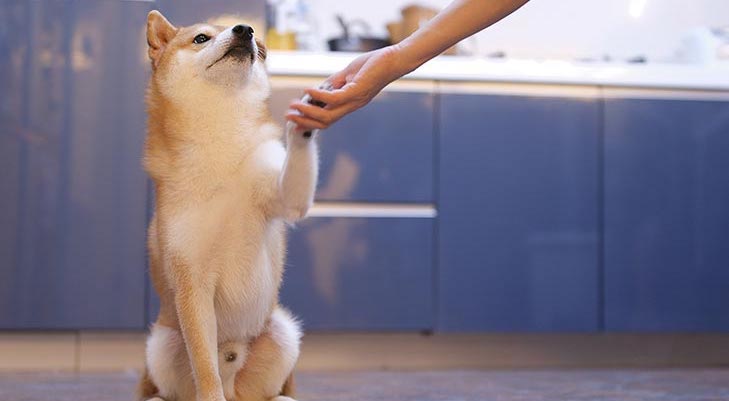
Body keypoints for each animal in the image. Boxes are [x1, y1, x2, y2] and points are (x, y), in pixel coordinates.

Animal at [136, 10, 318, 400]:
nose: (245, 30)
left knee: (269, 392)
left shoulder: (286, 197)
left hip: (282, 330)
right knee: (174, 389)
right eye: (201, 38)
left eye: (260, 50)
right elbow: (205, 366)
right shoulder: (192, 283)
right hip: (161, 343)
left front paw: (306, 117)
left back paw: (285, 397)